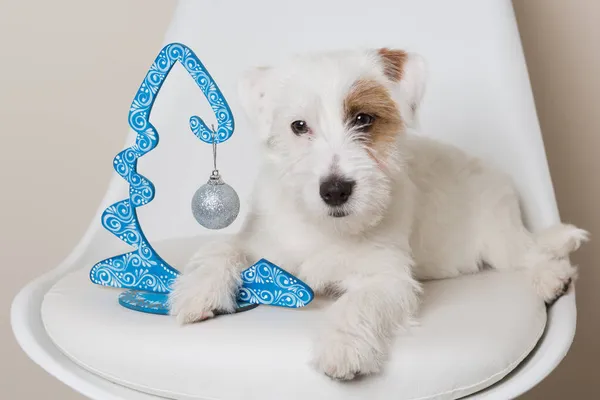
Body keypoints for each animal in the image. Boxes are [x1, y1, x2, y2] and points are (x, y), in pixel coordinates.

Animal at [168, 49, 584, 382]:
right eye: (299, 126)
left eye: (364, 119)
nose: (335, 190)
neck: (327, 229)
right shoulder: (263, 243)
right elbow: (224, 249)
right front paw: (198, 290)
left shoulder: (388, 278)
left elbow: (358, 302)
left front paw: (341, 347)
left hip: (499, 235)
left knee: (528, 252)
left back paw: (551, 275)